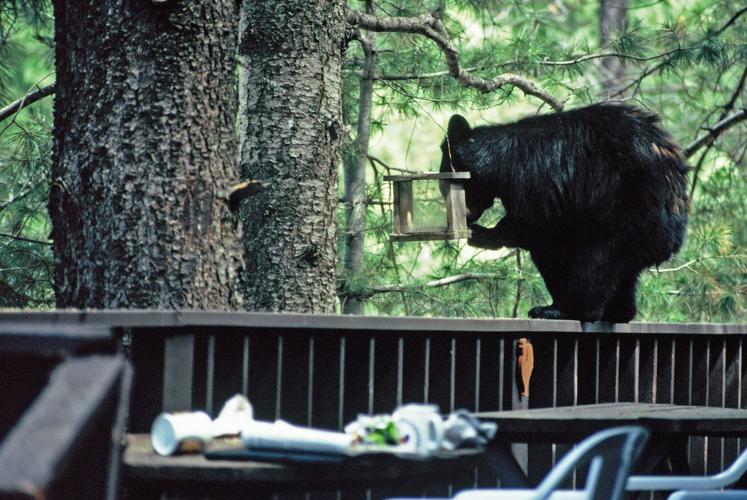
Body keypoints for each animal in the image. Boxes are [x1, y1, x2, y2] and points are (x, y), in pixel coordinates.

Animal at [440, 103, 689, 323]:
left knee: (598, 258)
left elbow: (540, 229)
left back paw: (565, 310)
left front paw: (484, 234)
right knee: (623, 270)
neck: (499, 161)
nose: (465, 216)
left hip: (627, 210)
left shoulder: (536, 180)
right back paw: (620, 312)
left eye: (446, 185)